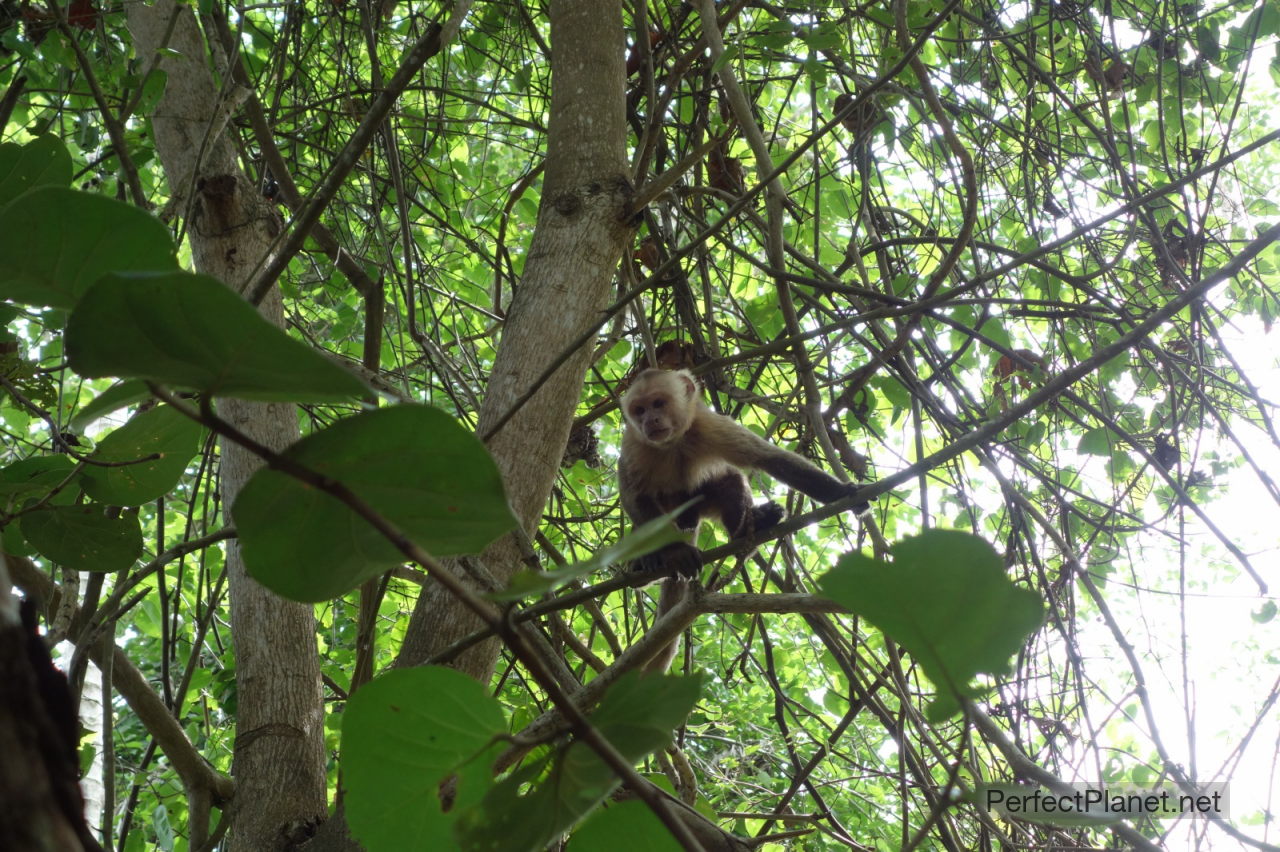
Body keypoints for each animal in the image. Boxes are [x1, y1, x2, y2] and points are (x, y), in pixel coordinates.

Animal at [619, 365, 870, 670]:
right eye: (639, 410)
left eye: (658, 403)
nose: (649, 420)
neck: (672, 443)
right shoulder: (634, 442)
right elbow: (633, 496)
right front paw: (674, 551)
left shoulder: (709, 424)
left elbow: (770, 459)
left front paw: (841, 492)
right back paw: (647, 564)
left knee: (729, 480)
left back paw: (748, 532)